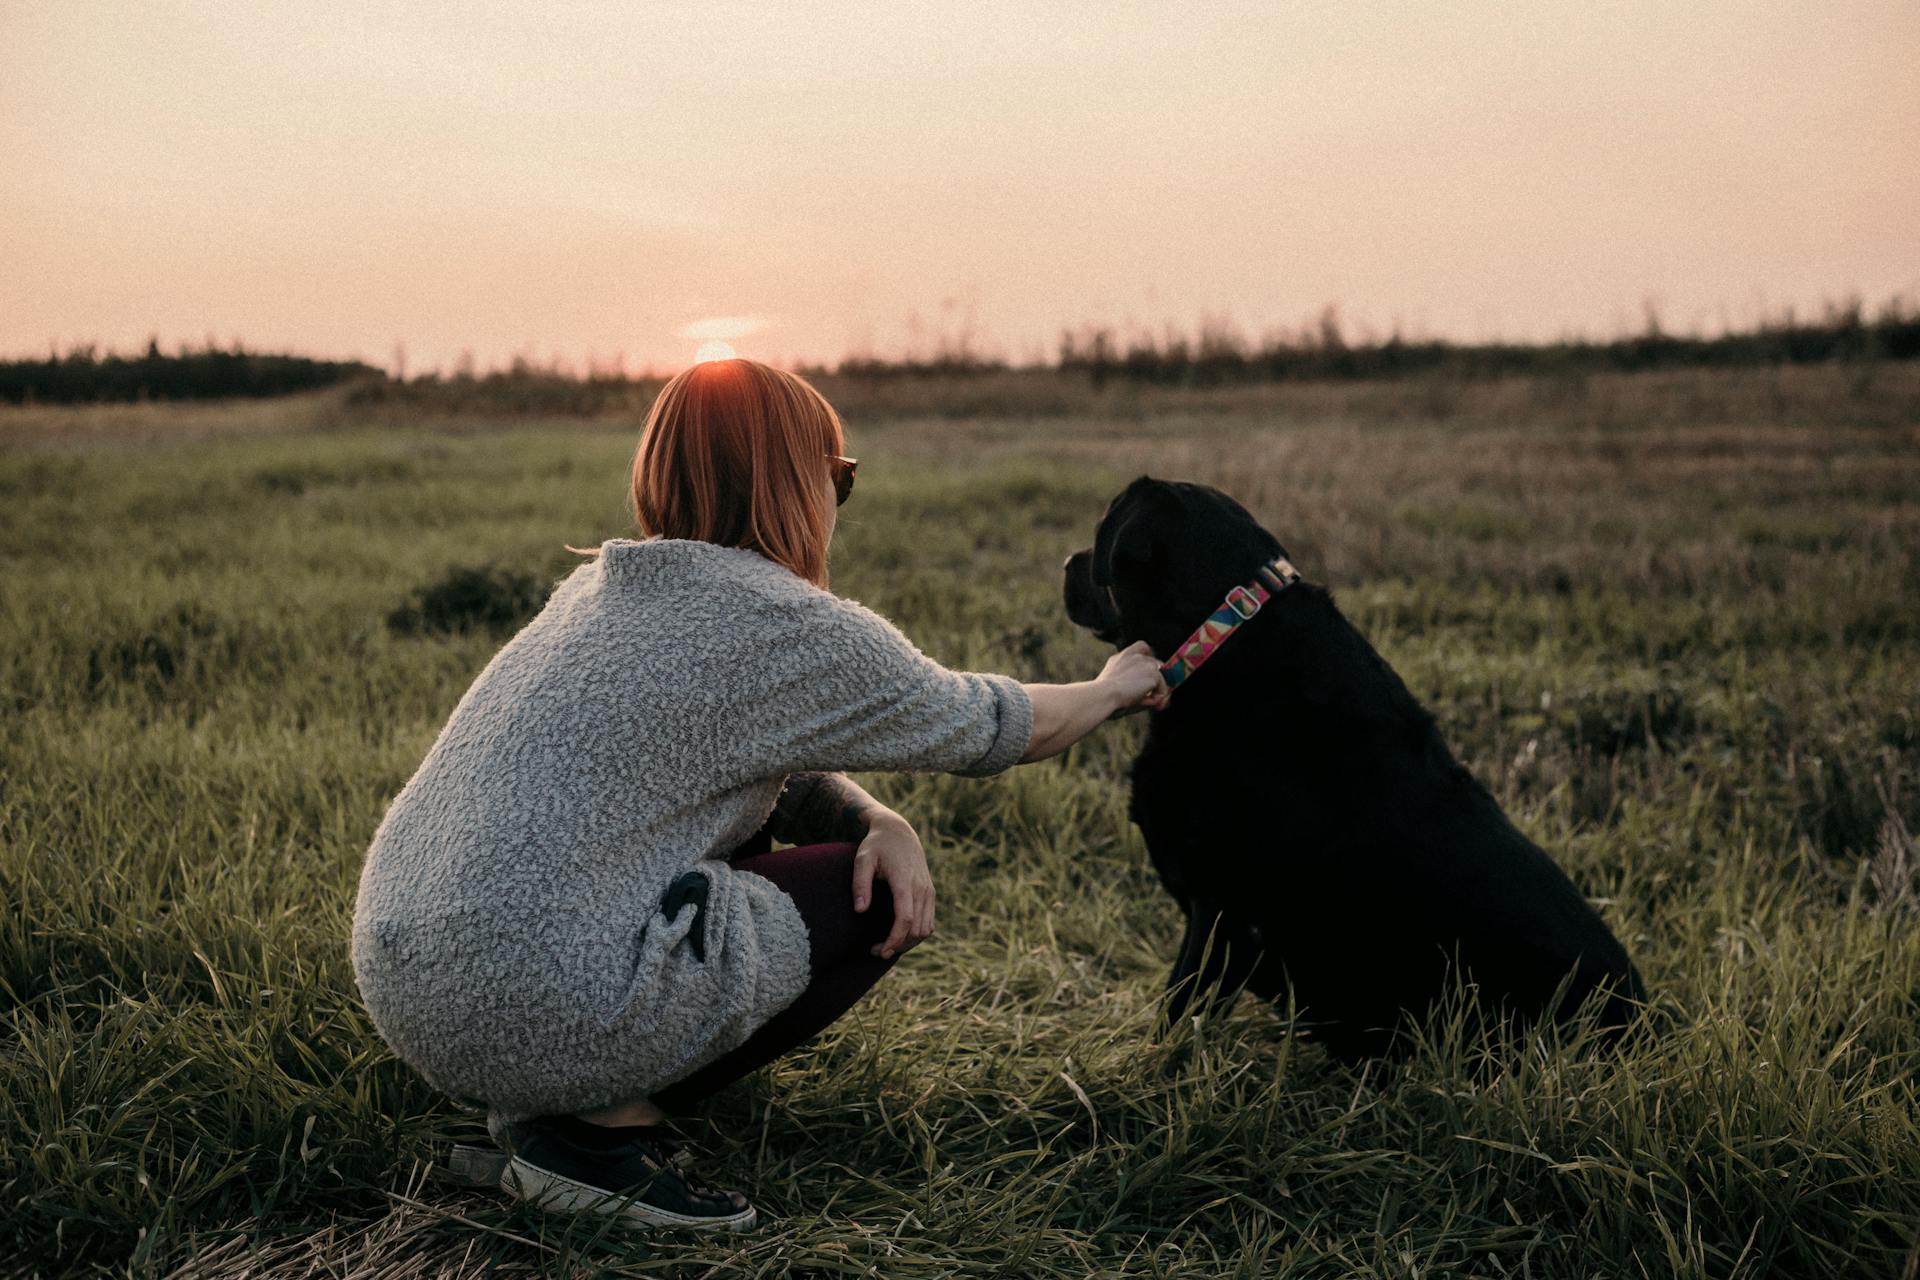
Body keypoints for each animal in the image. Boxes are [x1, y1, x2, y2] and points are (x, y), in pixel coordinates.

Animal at [1059, 475, 1643, 1059]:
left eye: (1102, 528)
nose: (1066, 562)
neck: (1222, 635)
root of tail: (1648, 1024)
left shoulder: (1224, 915)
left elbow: (1176, 1025)